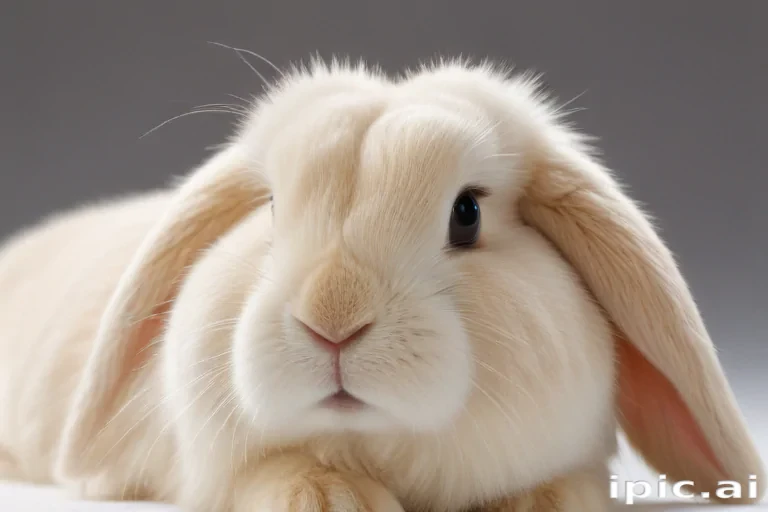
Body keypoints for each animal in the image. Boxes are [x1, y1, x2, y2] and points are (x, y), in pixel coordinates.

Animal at [0, 57, 764, 512]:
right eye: (271, 207)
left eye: (467, 214)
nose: (332, 322)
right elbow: (269, 474)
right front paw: (334, 496)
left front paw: (542, 500)